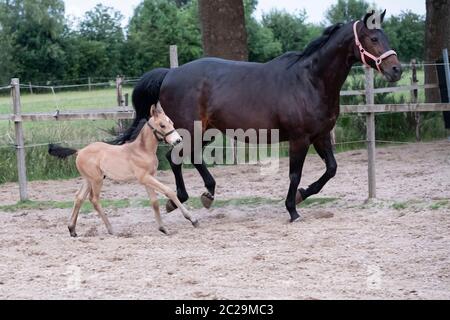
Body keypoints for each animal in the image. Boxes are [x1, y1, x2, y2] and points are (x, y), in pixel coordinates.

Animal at [48, 102, 198, 235]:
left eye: (171, 122)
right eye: (162, 125)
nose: (178, 141)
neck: (142, 150)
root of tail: (79, 151)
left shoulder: (148, 178)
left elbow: (154, 202)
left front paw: (163, 228)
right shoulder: (144, 177)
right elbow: (169, 191)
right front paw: (192, 219)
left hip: (88, 180)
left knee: (79, 198)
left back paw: (72, 229)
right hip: (97, 180)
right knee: (94, 200)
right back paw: (111, 229)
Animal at [114, 11, 402, 222]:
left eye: (385, 37)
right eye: (373, 38)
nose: (396, 70)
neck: (311, 81)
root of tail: (170, 73)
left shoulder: (320, 136)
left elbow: (331, 169)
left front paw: (302, 196)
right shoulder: (299, 139)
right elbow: (294, 174)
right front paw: (292, 209)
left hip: (205, 131)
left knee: (186, 157)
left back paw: (196, 196)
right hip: (189, 129)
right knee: (178, 157)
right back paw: (191, 197)